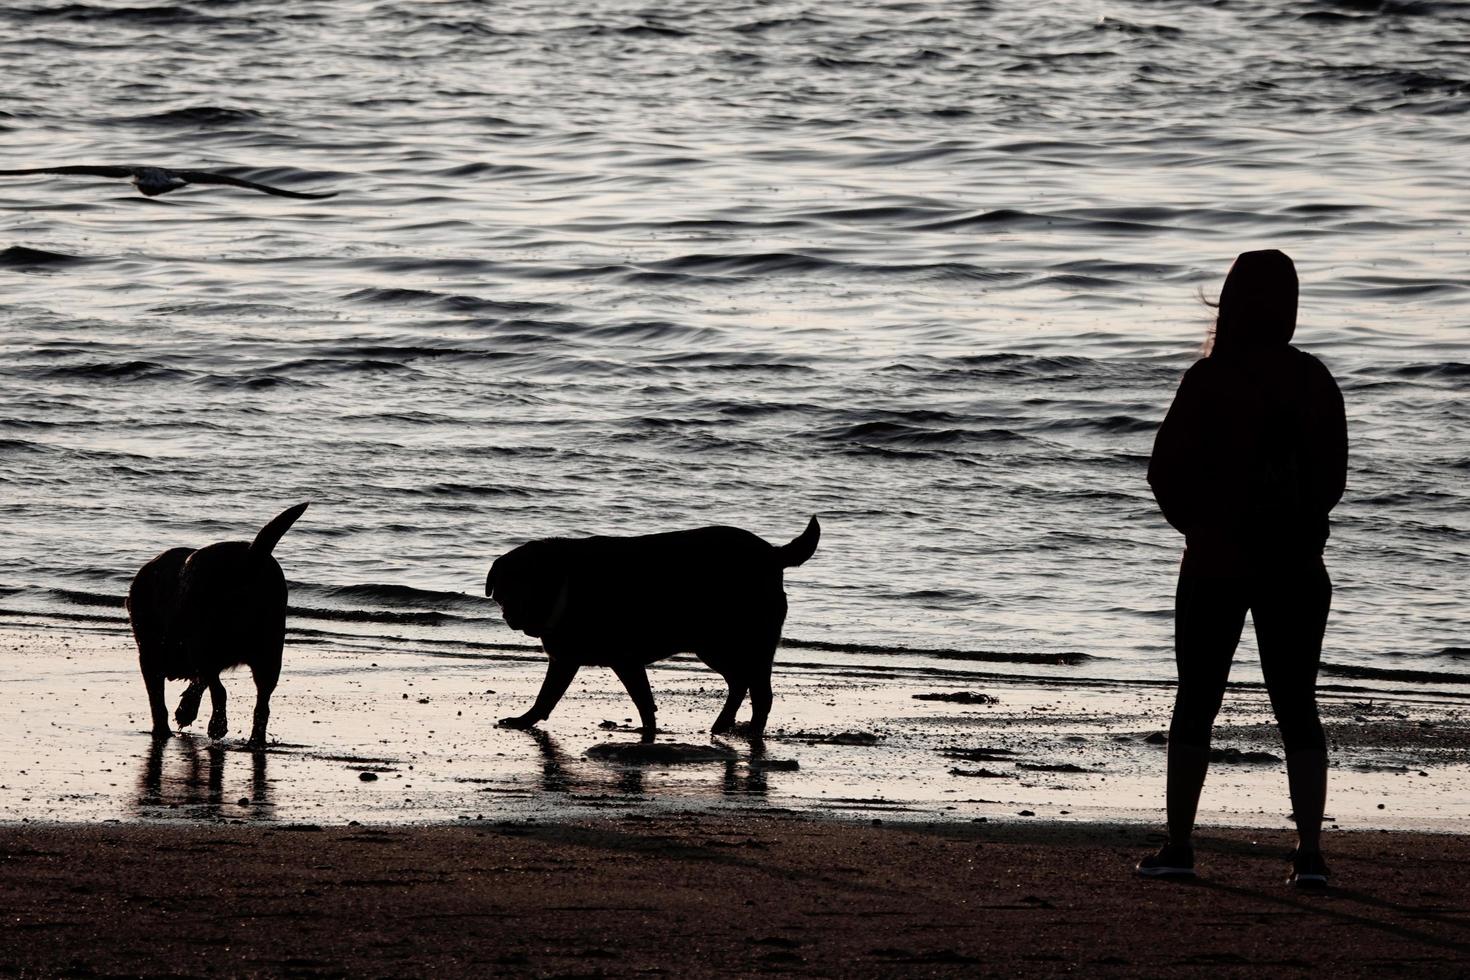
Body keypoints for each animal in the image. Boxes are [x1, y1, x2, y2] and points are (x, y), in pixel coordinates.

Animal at [127, 502, 310, 746]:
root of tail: (250, 558)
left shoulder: (150, 659)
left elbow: (158, 701)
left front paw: (165, 727)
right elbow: (196, 684)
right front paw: (186, 710)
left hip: (203, 645)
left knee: (220, 690)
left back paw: (217, 726)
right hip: (268, 655)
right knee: (261, 705)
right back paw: (254, 740)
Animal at [488, 514, 823, 743]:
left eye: (526, 585)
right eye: (503, 590)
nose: (510, 615)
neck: (564, 585)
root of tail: (773, 555)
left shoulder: (621, 659)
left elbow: (640, 699)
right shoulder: (568, 660)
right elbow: (547, 697)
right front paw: (524, 720)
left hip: (739, 643)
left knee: (760, 692)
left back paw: (751, 732)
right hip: (713, 646)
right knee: (740, 682)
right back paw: (722, 725)